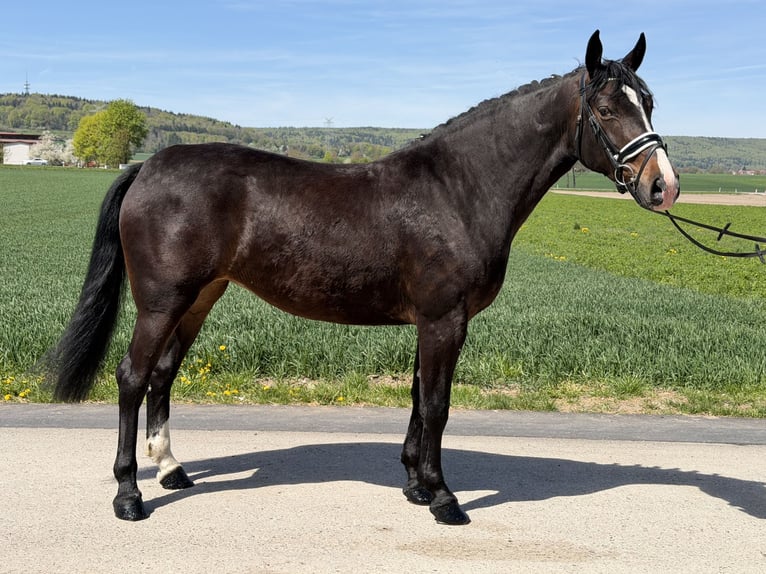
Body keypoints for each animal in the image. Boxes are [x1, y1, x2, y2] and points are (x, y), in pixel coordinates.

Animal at [48, 30, 679, 526]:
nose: (663, 186)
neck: (457, 189)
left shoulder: (433, 323)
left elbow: (419, 398)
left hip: (199, 297)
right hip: (161, 301)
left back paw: (172, 470)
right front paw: (443, 498)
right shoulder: (444, 320)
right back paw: (129, 495)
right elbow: (437, 404)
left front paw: (416, 485)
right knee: (132, 377)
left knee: (162, 374)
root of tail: (147, 167)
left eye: (649, 101)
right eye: (606, 111)